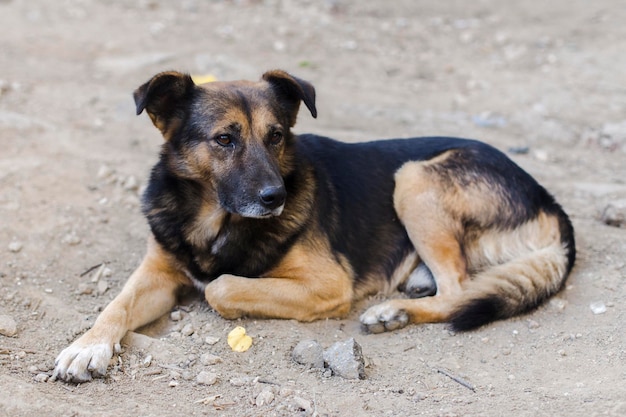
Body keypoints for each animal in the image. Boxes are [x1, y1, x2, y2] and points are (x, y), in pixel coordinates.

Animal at [51, 70, 572, 382]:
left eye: (276, 136)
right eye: (224, 140)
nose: (276, 198)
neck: (215, 221)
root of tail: (548, 200)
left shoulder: (327, 284)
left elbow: (220, 286)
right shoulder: (157, 271)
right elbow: (114, 307)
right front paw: (87, 347)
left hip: (414, 178)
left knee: (460, 290)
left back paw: (394, 312)